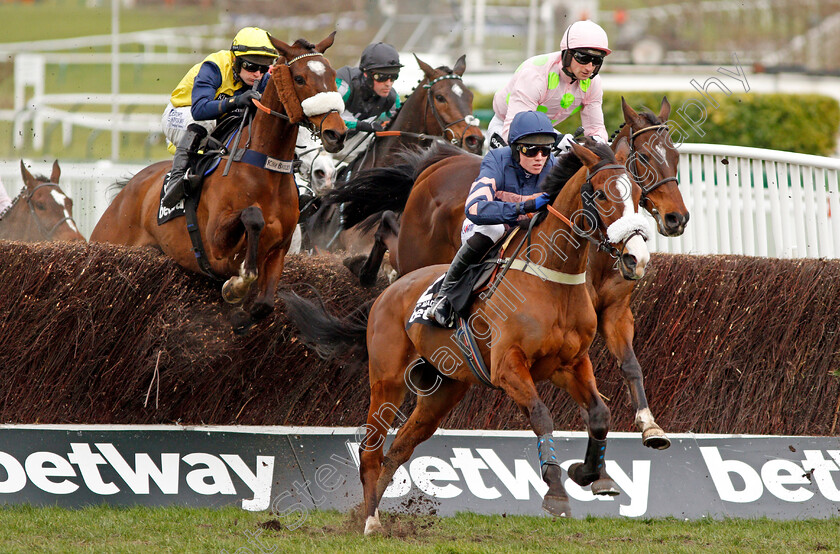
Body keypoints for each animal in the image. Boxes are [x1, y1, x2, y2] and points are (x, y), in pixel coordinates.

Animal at [88, 33, 344, 332]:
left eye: (333, 75)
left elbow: (264, 305)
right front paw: (237, 283)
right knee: (197, 124)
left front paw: (242, 313)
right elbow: (252, 217)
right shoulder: (215, 244)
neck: (264, 168)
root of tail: (128, 189)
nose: (336, 133)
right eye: (300, 78)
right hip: (111, 238)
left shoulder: (280, 249)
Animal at [282, 139, 648, 532]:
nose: (637, 258)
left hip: (440, 391)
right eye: (602, 194)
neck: (552, 280)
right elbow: (540, 416)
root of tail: (389, 290)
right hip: (387, 381)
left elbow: (599, 414)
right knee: (371, 450)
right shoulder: (508, 367)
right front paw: (555, 493)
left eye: (639, 194)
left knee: (398, 449)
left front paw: (592, 474)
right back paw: (370, 522)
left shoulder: (569, 365)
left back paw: (375, 512)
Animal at [324, 97, 684, 446]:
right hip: (417, 254)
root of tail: (434, 166)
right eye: (645, 158)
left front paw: (650, 426)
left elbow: (630, 364)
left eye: (676, 157)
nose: (677, 219)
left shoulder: (615, 310)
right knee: (392, 229)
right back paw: (371, 272)